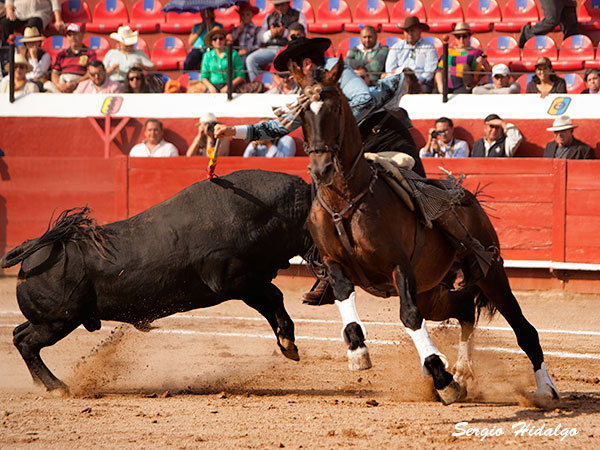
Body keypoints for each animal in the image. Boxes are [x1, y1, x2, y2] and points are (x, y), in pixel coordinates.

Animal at [1, 169, 313, 392]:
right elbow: (274, 297)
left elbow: (271, 304)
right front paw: (288, 343)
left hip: (51, 320)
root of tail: (34, 246)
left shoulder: (250, 282)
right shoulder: (236, 280)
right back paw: (57, 387)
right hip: (59, 321)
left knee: (18, 334)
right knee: (27, 343)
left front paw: (287, 345)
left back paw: (45, 384)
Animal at [288, 58, 559, 405]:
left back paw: (544, 389)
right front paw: (358, 351)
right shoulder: (334, 263)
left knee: (523, 328)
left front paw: (440, 378)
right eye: (301, 114)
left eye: (335, 108)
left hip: (491, 274)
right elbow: (344, 296)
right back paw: (463, 373)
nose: (322, 168)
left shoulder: (399, 266)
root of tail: (468, 198)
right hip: (433, 291)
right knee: (464, 310)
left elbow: (409, 316)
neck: (347, 198)